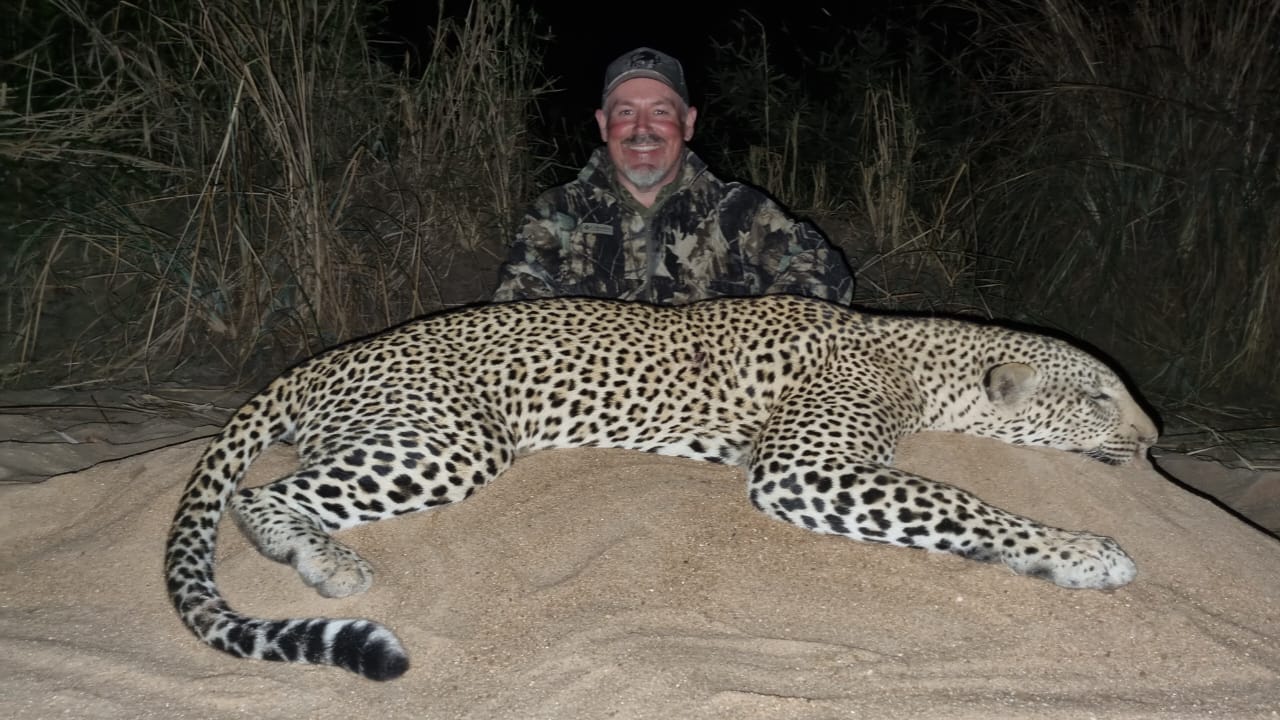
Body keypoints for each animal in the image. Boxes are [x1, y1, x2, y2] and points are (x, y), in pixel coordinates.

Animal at [165, 294, 1158, 681]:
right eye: (1100, 396)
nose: (1156, 440)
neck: (919, 359)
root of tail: (317, 361)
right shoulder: (802, 467)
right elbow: (959, 501)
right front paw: (1078, 550)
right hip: (452, 437)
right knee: (261, 495)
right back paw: (326, 563)